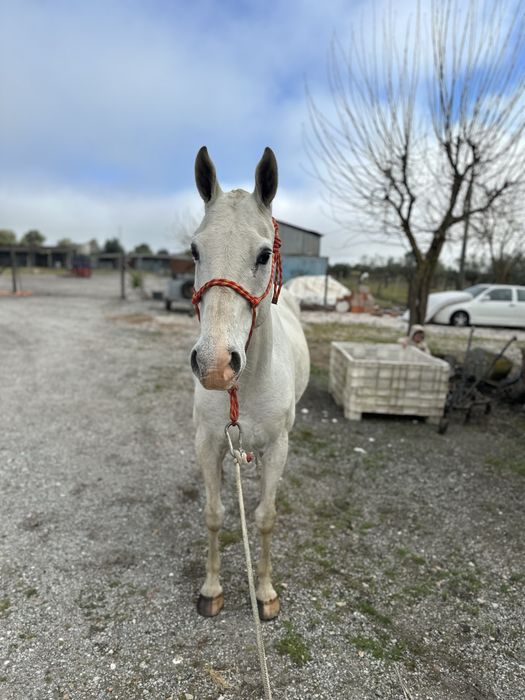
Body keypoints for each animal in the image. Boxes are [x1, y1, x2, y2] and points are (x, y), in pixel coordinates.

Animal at [190, 146, 310, 621]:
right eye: (194, 250)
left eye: (262, 255)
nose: (215, 366)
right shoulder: (209, 443)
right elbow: (213, 514)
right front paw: (211, 589)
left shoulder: (278, 447)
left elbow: (265, 518)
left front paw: (265, 593)